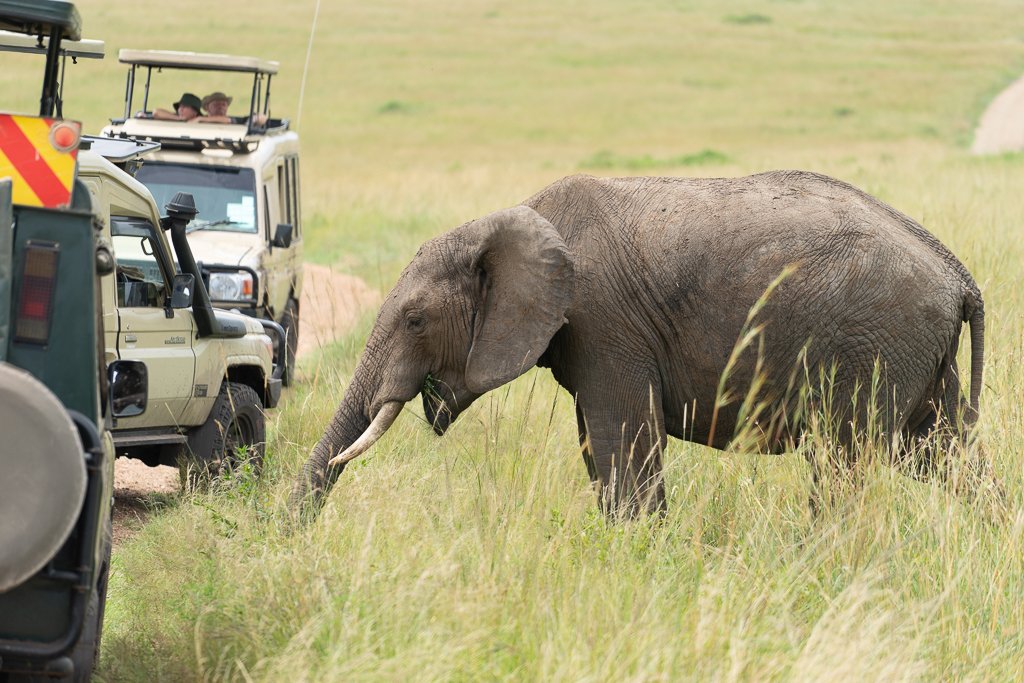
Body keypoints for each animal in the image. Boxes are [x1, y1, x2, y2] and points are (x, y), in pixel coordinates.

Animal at [290, 171, 985, 519]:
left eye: (413, 320)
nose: (289, 536)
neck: (510, 219)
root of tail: (958, 274)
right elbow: (598, 446)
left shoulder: (604, 321)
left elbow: (622, 440)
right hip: (920, 356)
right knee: (946, 454)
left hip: (877, 349)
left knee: (846, 461)